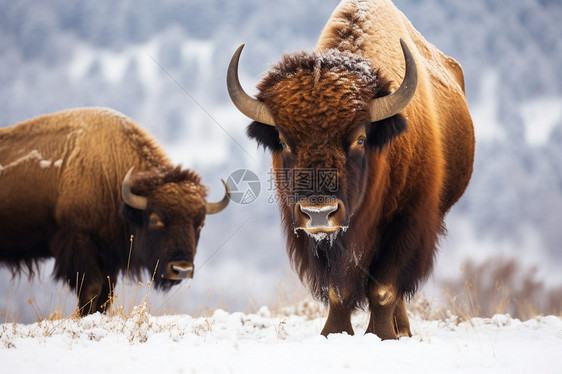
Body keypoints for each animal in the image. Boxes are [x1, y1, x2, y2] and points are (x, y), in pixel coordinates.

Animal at [0, 106, 229, 314]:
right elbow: (91, 290)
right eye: (155, 220)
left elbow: (104, 295)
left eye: (200, 224)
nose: (181, 269)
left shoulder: (109, 258)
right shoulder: (80, 243)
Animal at [226, 0, 472, 338]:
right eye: (283, 141)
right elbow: (338, 289)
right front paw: (334, 332)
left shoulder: (407, 222)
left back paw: (402, 330)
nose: (319, 213)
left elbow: (384, 288)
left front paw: (382, 335)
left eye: (360, 138)